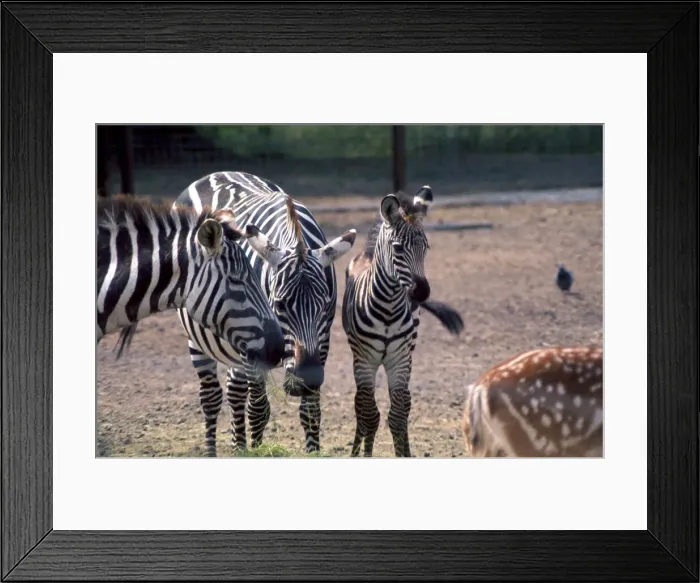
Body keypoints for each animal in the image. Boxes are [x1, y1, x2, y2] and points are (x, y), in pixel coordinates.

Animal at [117, 172, 357, 456]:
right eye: (280, 306)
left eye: (325, 305)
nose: (304, 382)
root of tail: (216, 174)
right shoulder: (257, 346)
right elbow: (257, 409)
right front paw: (255, 448)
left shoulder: (321, 342)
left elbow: (310, 412)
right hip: (200, 337)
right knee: (212, 397)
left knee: (234, 391)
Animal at [341, 186, 464, 457]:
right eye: (397, 248)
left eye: (426, 247)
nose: (422, 293)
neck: (388, 309)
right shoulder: (365, 360)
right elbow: (370, 415)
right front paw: (363, 454)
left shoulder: (399, 359)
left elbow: (397, 417)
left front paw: (403, 453)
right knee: (361, 408)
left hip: (408, 353)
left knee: (404, 405)